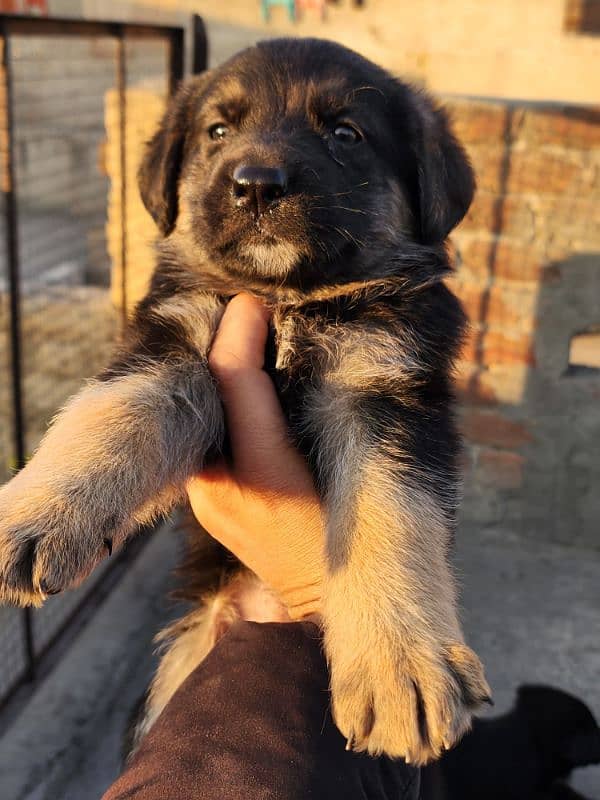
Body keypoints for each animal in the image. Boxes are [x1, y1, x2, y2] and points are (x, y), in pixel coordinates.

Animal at [0, 37, 490, 764]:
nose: (256, 184)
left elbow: (393, 515)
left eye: (345, 133)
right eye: (217, 132)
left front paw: (401, 664)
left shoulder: (385, 390)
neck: (287, 300)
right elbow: (115, 413)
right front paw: (36, 513)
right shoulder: (173, 338)